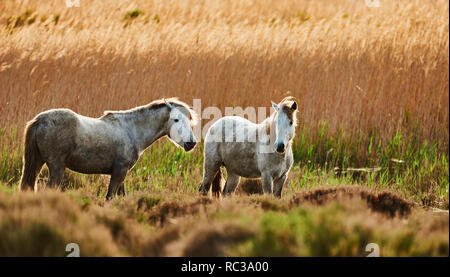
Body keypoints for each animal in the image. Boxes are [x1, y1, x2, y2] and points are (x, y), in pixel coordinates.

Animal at [18, 97, 199, 198]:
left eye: (189, 120)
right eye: (176, 119)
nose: (191, 143)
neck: (131, 130)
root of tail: (39, 120)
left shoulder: (122, 174)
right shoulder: (119, 172)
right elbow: (109, 197)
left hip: (38, 163)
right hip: (56, 167)